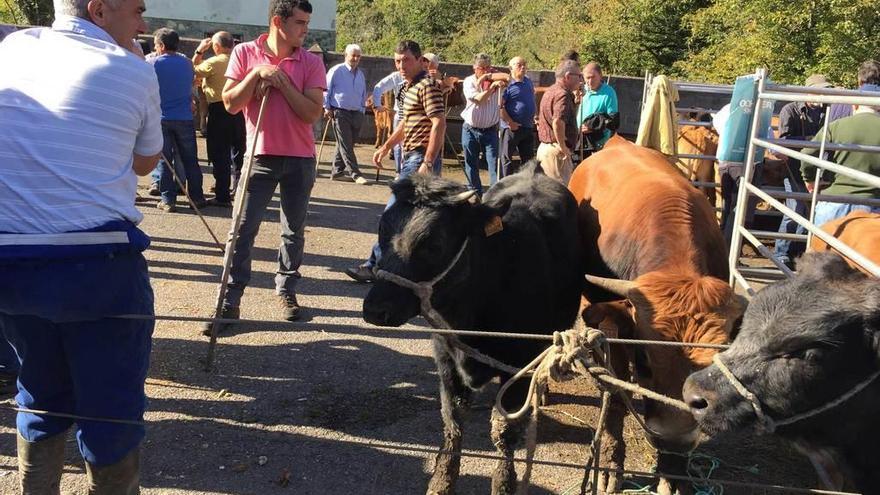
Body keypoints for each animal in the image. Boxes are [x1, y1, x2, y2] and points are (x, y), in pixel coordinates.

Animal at [362, 166, 584, 495]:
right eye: (382, 233)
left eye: (433, 244)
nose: (375, 309)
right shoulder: (445, 358)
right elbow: (452, 422)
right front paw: (441, 482)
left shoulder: (518, 367)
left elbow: (503, 431)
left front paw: (503, 483)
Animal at [568, 136, 744, 495]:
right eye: (645, 360)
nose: (675, 442)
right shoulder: (617, 338)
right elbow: (615, 398)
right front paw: (611, 468)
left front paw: (673, 474)